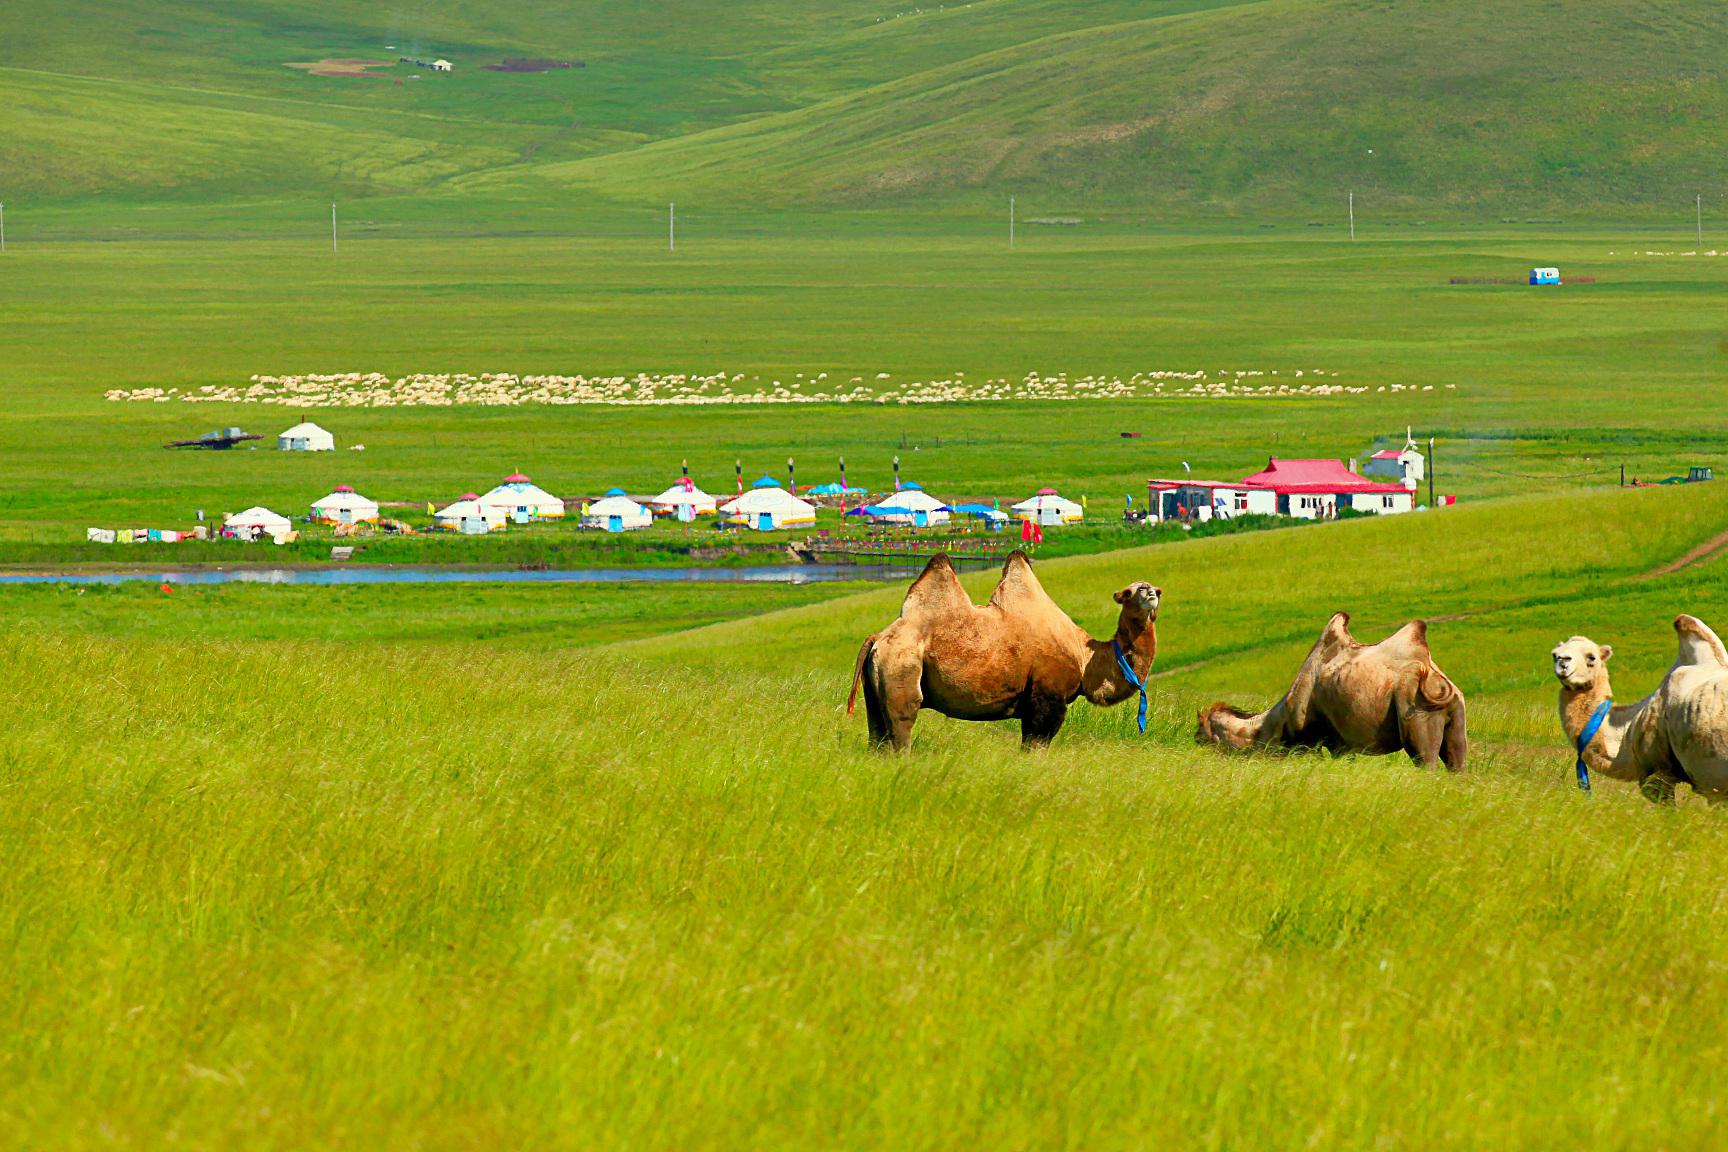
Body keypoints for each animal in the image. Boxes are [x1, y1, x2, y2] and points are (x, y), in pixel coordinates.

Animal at [846, 549, 1161, 749]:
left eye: (1154, 589)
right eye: (1129, 592)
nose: (1150, 592)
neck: (1085, 658)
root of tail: (878, 637)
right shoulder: (1048, 696)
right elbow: (1035, 745)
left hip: (875, 687)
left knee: (877, 734)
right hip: (902, 665)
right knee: (903, 723)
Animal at [1202, 611, 1472, 773]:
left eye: (1203, 734)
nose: (1195, 743)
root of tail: (1435, 679)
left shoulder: (1315, 740)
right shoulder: (1341, 744)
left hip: (1414, 710)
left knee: (1425, 761)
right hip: (1456, 714)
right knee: (1456, 761)